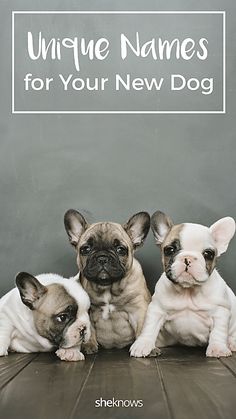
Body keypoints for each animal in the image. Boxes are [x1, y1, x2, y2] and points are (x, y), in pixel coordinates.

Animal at [63, 209, 150, 352]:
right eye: (85, 249)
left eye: (120, 249)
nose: (102, 258)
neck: (108, 287)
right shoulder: (88, 312)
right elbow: (89, 329)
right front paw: (89, 345)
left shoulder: (138, 309)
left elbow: (142, 327)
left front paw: (144, 346)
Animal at [131, 212, 236, 360]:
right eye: (170, 250)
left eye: (208, 254)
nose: (188, 258)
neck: (188, 291)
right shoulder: (156, 309)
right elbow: (149, 327)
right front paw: (142, 344)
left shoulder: (220, 312)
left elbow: (218, 332)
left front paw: (217, 348)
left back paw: (231, 343)